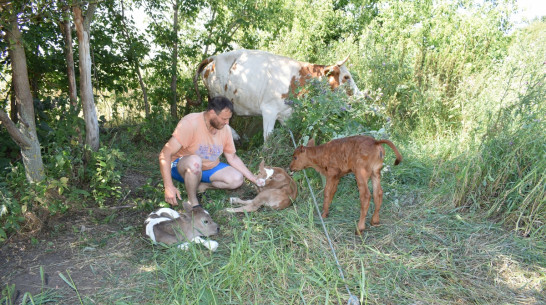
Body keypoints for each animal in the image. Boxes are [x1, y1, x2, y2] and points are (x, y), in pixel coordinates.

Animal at [192, 49, 362, 140]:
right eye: (346, 77)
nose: (361, 96)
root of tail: (215, 57)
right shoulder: (269, 110)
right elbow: (268, 139)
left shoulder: (286, 114)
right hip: (216, 94)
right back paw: (234, 136)